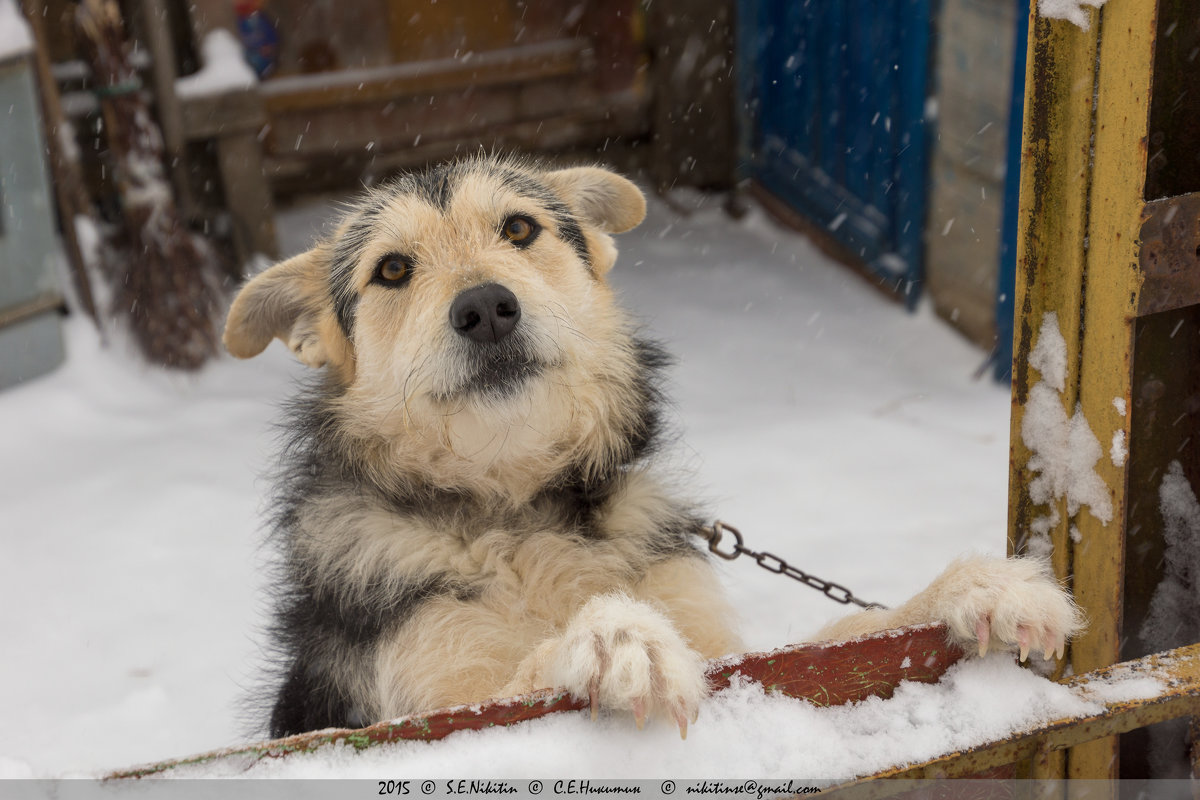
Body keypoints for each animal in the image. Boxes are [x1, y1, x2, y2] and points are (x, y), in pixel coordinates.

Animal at [220, 153, 1084, 743]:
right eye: (393, 269)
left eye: (519, 229)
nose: (486, 307)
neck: (521, 508)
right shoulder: (425, 710)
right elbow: (517, 680)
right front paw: (607, 637)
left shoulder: (745, 657)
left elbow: (848, 639)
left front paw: (973, 589)